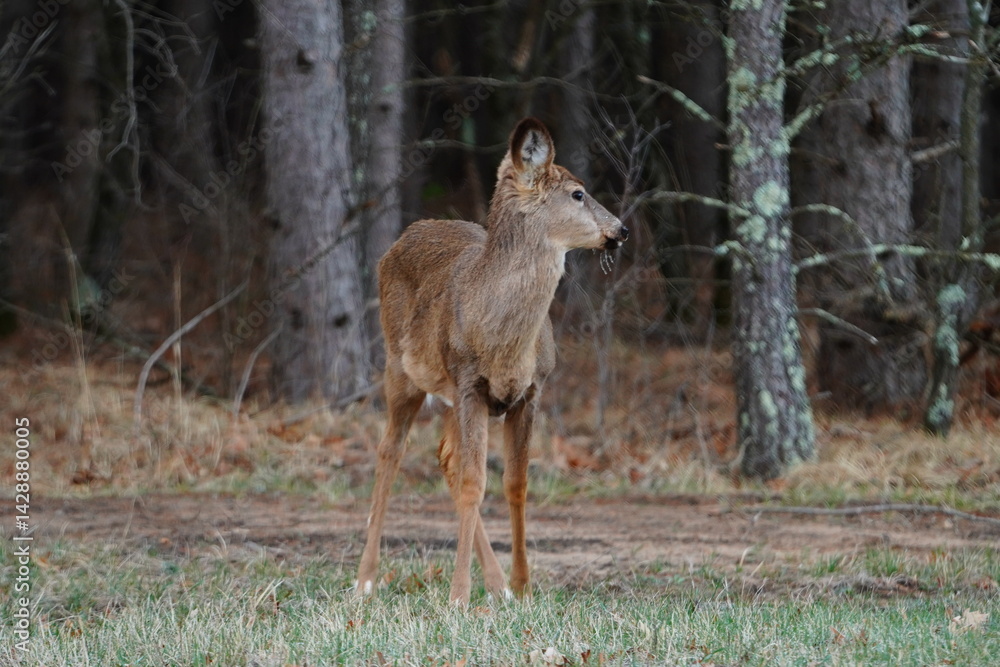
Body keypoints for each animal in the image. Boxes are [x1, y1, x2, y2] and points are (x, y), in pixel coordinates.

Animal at [355, 117, 628, 604]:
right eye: (578, 193)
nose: (621, 229)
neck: (504, 343)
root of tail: (403, 237)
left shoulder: (531, 390)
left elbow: (514, 484)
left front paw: (521, 587)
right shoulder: (470, 383)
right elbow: (473, 484)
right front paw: (459, 596)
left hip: (445, 394)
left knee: (445, 456)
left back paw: (497, 584)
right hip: (399, 369)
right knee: (390, 451)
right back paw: (365, 578)